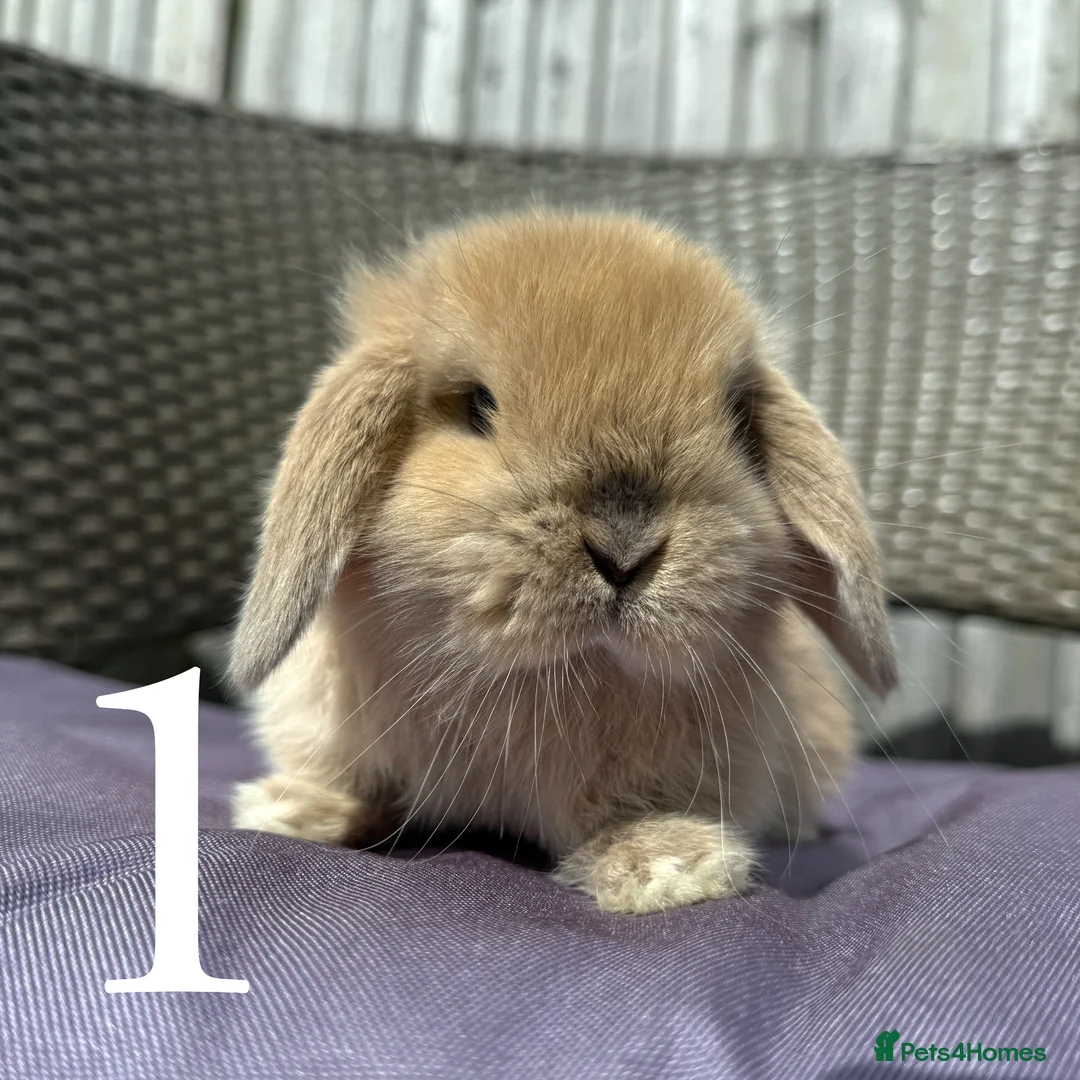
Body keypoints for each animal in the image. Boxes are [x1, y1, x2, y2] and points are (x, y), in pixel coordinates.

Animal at [229, 210, 896, 914]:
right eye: (477, 405)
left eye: (737, 419)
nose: (625, 550)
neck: (526, 678)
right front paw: (292, 810)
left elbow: (628, 815)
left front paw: (671, 869)